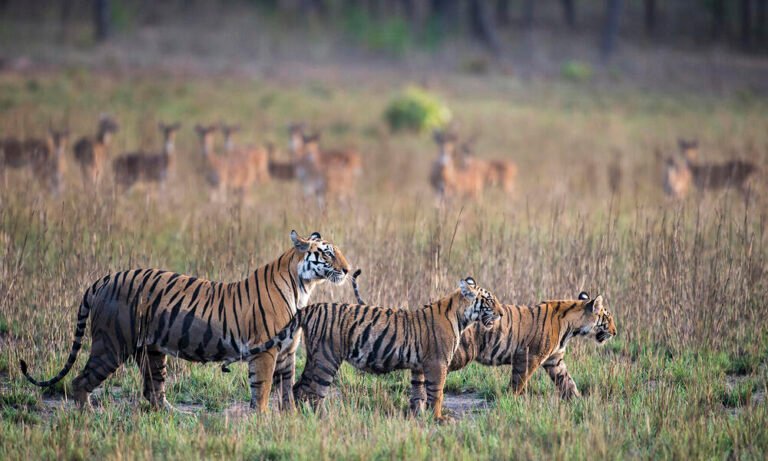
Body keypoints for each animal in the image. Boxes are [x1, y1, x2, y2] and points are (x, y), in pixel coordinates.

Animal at [20, 230, 352, 412]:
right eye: (327, 254)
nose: (348, 270)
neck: (303, 287)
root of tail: (104, 279)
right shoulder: (265, 350)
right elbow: (263, 388)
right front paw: (262, 418)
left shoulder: (287, 351)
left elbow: (286, 389)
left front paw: (289, 418)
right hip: (111, 345)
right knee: (81, 381)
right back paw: (88, 416)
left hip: (151, 352)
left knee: (153, 391)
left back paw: (177, 415)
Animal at [222, 277, 503, 421]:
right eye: (489, 300)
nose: (501, 313)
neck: (462, 316)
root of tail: (310, 307)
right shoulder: (436, 364)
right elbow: (438, 393)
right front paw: (438, 418)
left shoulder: (419, 367)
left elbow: (418, 393)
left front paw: (415, 416)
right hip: (326, 359)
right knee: (312, 390)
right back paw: (321, 419)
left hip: (316, 357)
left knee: (300, 388)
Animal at [438, 291, 615, 401]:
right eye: (608, 318)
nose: (615, 332)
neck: (573, 328)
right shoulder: (530, 356)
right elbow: (519, 381)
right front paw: (510, 400)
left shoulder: (555, 360)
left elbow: (568, 381)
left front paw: (578, 400)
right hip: (461, 353)